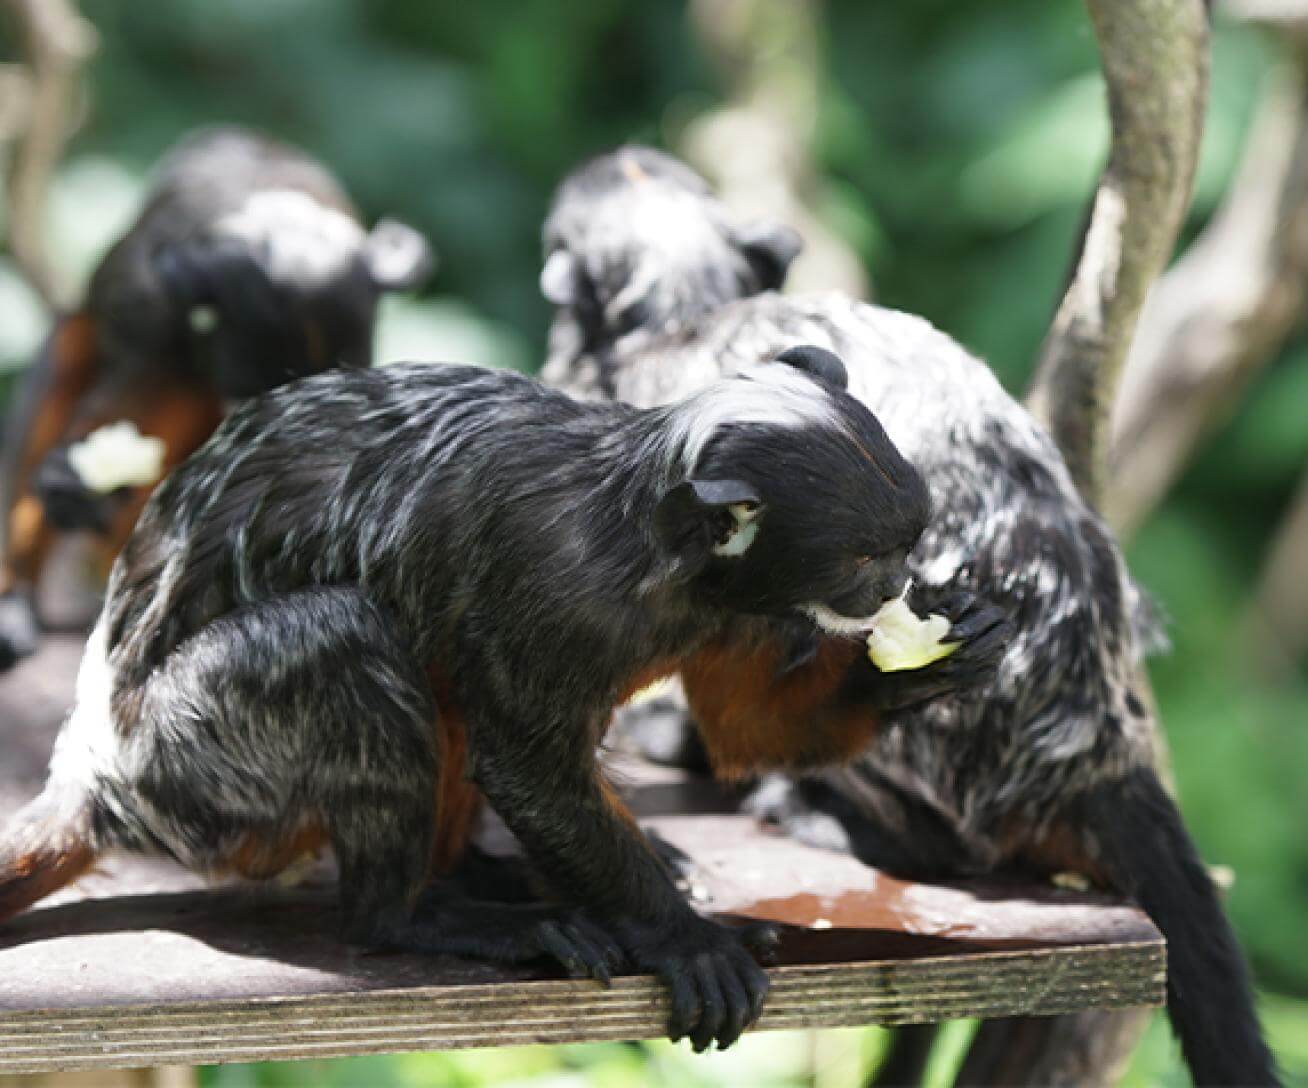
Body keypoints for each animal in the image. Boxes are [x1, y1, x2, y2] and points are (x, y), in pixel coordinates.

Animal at [0, 347, 996, 1053]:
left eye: (909, 544)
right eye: (866, 559)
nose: (897, 582)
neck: (653, 553)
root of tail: (99, 772)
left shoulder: (743, 605)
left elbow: (747, 729)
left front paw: (911, 667)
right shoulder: (553, 585)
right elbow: (529, 770)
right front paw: (683, 939)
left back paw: (480, 872)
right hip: (195, 766)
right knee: (344, 635)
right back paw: (418, 913)